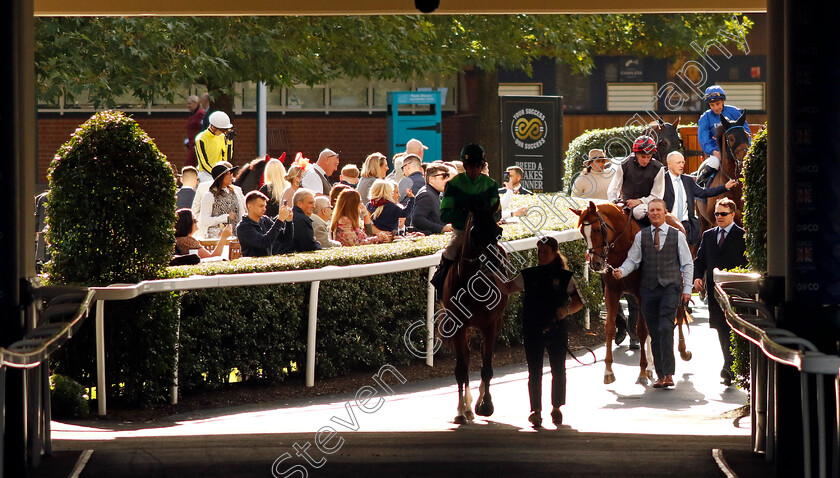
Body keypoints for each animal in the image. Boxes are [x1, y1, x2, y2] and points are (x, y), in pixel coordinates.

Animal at [442, 211, 508, 424]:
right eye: (475, 233)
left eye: (498, 231)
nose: (495, 264)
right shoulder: (458, 324)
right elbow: (461, 369)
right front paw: (461, 411)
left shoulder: (490, 324)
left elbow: (487, 367)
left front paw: (486, 405)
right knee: (467, 355)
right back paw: (467, 408)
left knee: (481, 353)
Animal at [572, 201, 696, 384]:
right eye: (582, 232)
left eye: (597, 229)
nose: (595, 263)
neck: (623, 246)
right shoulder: (611, 291)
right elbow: (609, 327)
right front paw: (608, 371)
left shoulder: (641, 294)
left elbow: (642, 330)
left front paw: (643, 371)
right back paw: (653, 366)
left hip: (679, 285)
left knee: (679, 315)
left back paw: (681, 351)